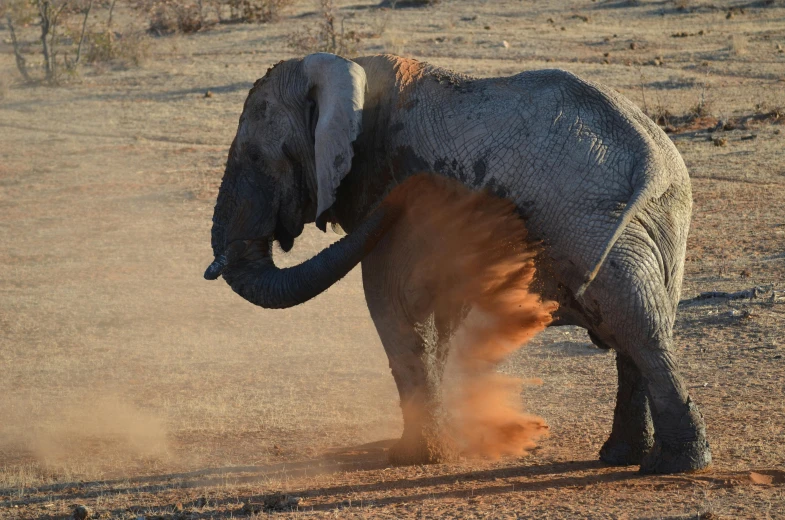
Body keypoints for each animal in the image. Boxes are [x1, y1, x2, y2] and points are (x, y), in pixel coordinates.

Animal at [202, 52, 712, 476]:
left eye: (255, 157)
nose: (428, 186)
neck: (351, 74)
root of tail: (654, 160)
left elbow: (393, 306)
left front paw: (413, 458)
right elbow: (437, 319)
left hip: (592, 219)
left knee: (637, 327)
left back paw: (672, 466)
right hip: (661, 221)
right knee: (638, 326)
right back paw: (623, 458)